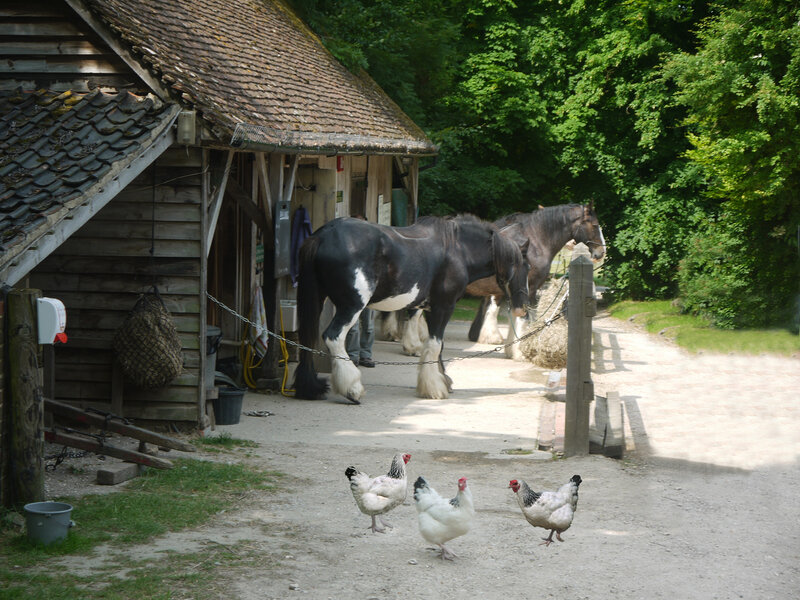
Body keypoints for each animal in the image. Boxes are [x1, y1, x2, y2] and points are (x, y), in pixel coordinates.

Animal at [292, 214, 530, 403]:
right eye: (524, 266)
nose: (522, 308)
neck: (458, 249)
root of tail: (323, 235)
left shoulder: (432, 309)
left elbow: (438, 347)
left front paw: (443, 380)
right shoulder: (444, 307)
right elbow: (434, 345)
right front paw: (435, 388)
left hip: (318, 299)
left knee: (307, 338)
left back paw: (310, 388)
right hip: (351, 306)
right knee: (332, 337)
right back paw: (352, 389)